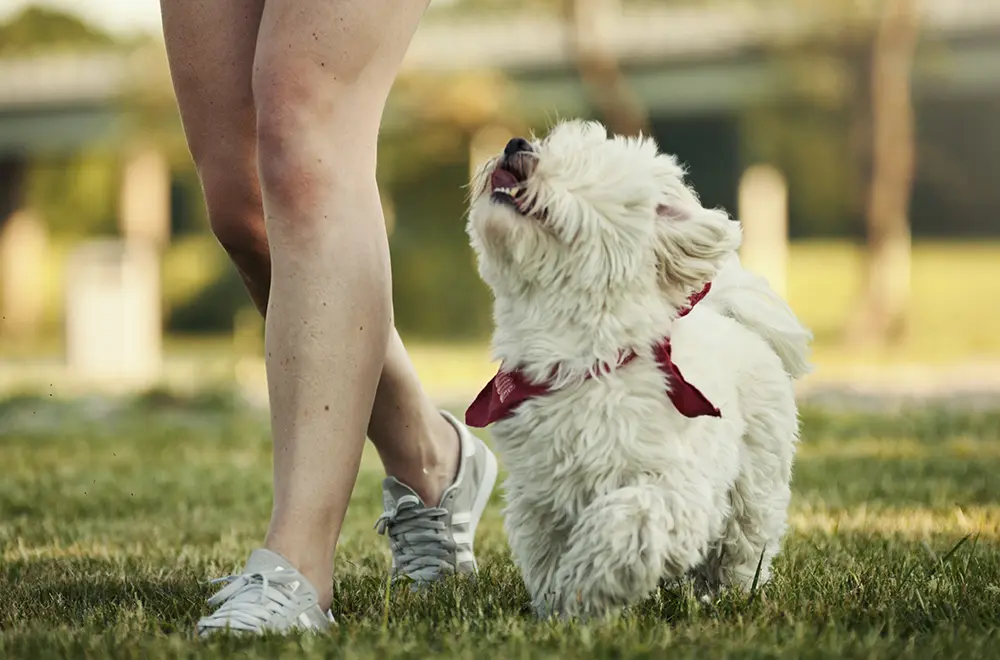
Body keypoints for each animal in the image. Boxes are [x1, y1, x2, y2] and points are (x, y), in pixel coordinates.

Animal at [460, 120, 812, 620]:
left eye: (582, 163)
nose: (515, 144)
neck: (584, 360)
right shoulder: (541, 496)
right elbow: (548, 555)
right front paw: (557, 608)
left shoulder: (676, 490)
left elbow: (626, 523)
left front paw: (585, 590)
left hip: (754, 484)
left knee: (742, 546)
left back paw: (729, 593)